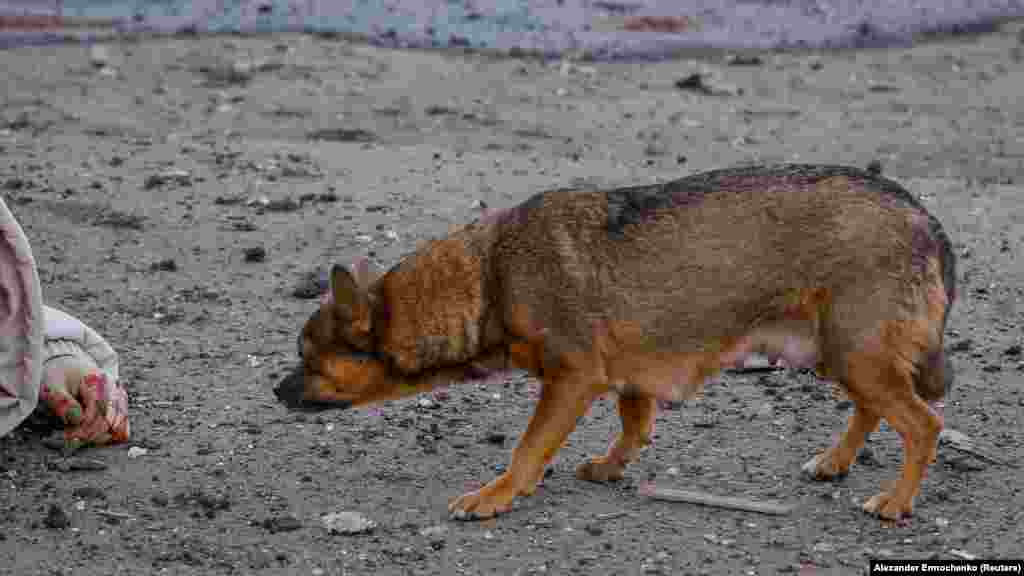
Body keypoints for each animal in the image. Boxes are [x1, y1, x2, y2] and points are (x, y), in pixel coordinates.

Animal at [276, 162, 954, 520]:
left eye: (306, 356)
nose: (275, 390)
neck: (488, 277)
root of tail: (921, 213)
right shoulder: (630, 374)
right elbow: (633, 424)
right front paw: (611, 465)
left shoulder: (571, 380)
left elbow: (527, 450)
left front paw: (498, 494)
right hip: (841, 355)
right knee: (872, 409)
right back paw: (836, 462)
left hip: (856, 353)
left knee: (923, 424)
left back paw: (897, 500)